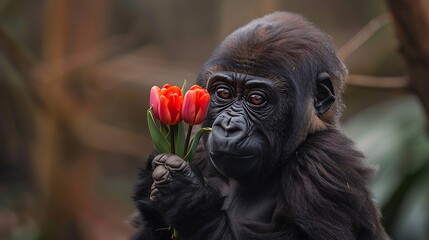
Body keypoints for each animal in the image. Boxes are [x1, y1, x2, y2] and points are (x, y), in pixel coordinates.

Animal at [132, 11, 390, 240]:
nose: (228, 127)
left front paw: (188, 199)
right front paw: (149, 184)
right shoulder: (200, 151)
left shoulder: (325, 163)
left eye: (256, 99)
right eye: (223, 93)